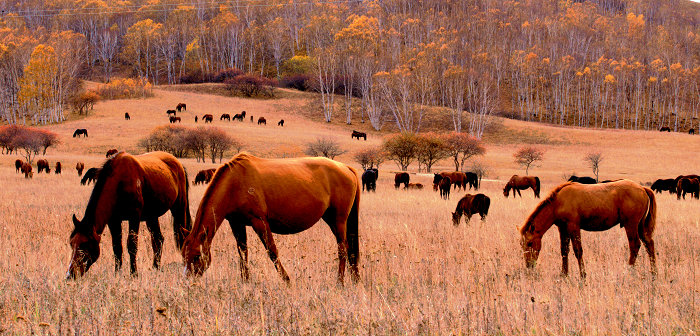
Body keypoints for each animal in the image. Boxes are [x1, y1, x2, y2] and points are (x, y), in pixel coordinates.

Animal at [180, 154, 360, 284]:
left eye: (197, 256)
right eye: (183, 256)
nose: (188, 281)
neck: (234, 183)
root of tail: (346, 168)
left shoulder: (259, 221)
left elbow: (272, 252)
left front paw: (287, 281)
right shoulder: (236, 223)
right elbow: (243, 252)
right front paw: (245, 281)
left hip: (338, 221)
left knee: (343, 249)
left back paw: (340, 282)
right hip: (332, 219)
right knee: (349, 249)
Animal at [520, 181, 656, 278]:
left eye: (530, 243)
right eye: (522, 244)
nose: (528, 265)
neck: (558, 203)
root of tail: (642, 188)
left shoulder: (573, 227)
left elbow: (578, 251)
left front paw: (583, 275)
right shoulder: (563, 229)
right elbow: (564, 251)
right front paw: (564, 274)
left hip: (630, 225)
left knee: (635, 245)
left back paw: (629, 270)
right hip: (640, 226)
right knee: (649, 244)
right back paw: (654, 272)